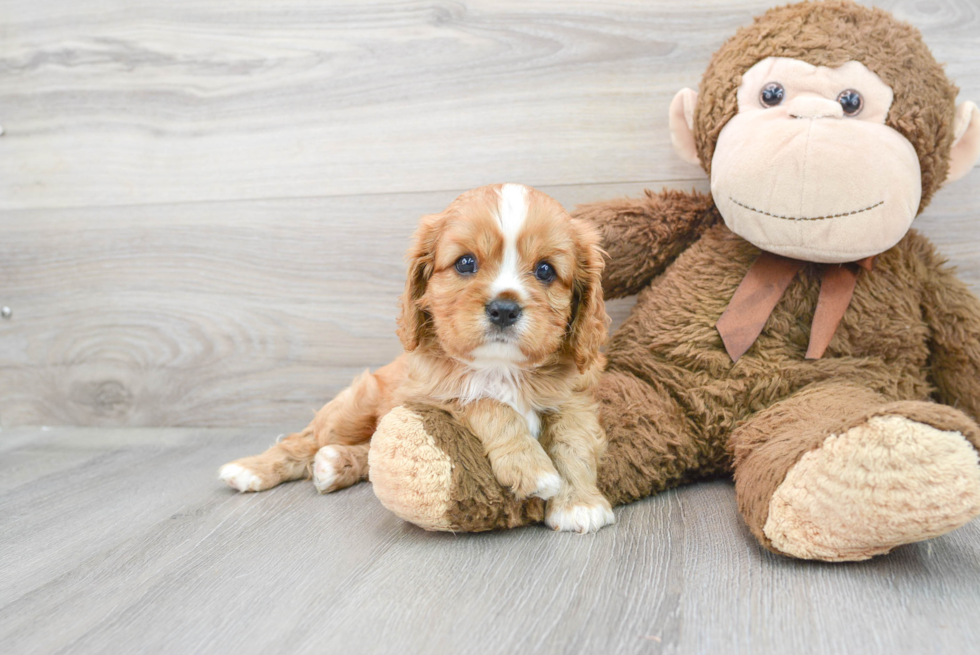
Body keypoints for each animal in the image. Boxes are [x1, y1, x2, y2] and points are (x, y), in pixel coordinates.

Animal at [222, 183, 612, 532]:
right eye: (465, 263)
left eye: (545, 270)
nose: (504, 309)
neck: (500, 367)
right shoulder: (433, 396)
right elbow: (489, 404)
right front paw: (531, 468)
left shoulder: (574, 399)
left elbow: (573, 444)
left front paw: (579, 504)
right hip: (354, 407)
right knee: (303, 439)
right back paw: (252, 469)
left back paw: (335, 463)